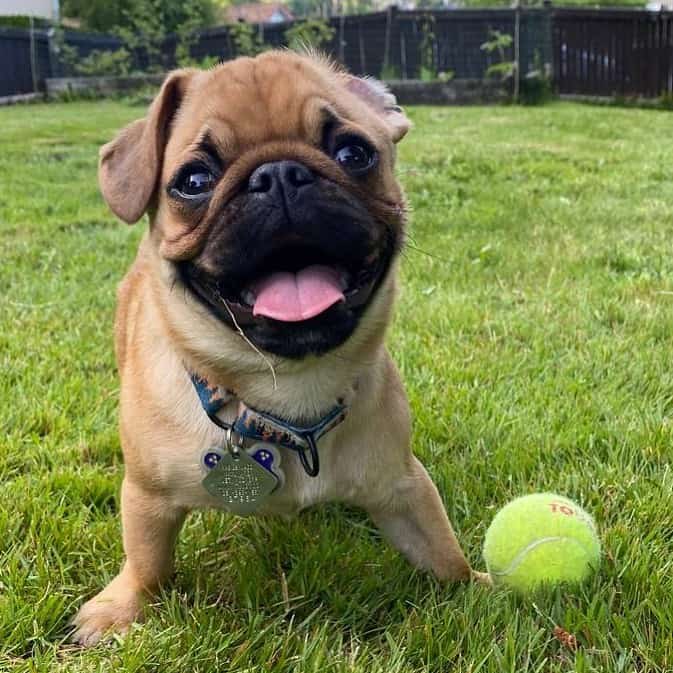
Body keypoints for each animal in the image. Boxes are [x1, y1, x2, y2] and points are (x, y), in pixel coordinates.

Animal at [71, 50, 484, 644]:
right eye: (193, 180)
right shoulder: (146, 496)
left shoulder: (403, 486)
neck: (286, 389)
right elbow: (147, 561)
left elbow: (443, 553)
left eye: (354, 153)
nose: (278, 175)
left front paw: (481, 588)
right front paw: (121, 608)